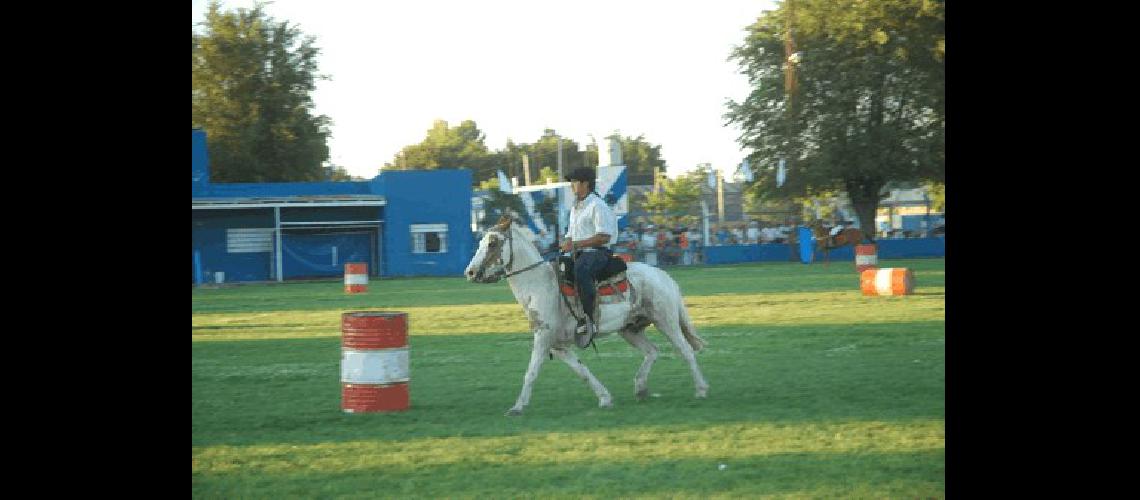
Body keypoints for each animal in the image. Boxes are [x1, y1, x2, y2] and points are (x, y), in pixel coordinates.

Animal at [465, 212, 711, 416]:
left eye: (493, 242)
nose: (470, 272)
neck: (540, 286)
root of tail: (664, 276)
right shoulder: (558, 345)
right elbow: (581, 370)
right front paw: (605, 398)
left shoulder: (543, 337)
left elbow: (531, 372)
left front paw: (517, 407)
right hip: (629, 329)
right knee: (652, 351)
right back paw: (640, 388)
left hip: (665, 321)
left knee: (685, 350)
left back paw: (701, 390)